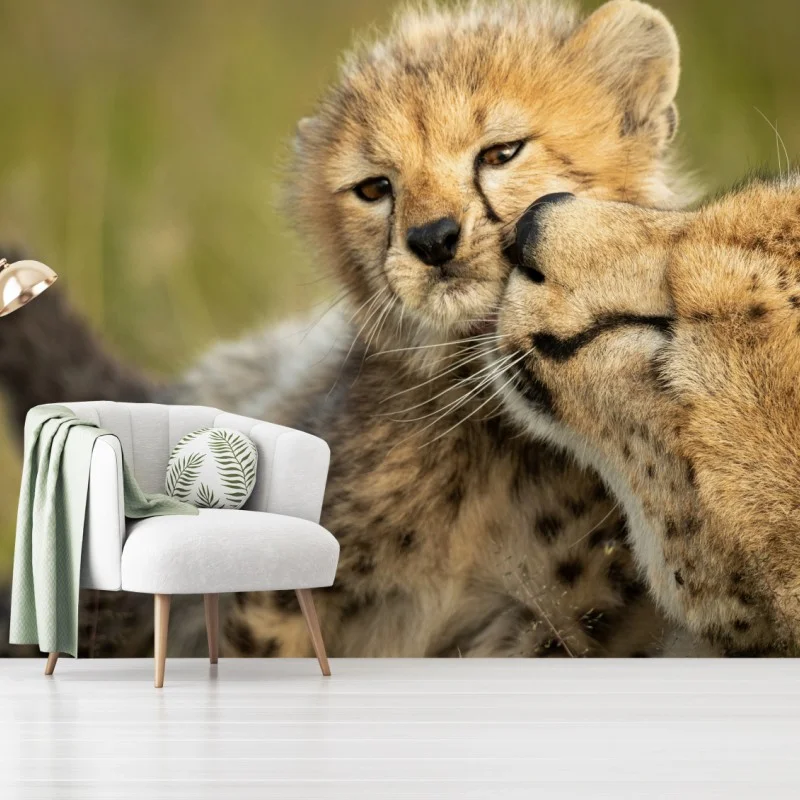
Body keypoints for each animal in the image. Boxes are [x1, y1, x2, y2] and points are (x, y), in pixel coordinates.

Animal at [0, 0, 703, 659]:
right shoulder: (280, 595)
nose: (433, 239)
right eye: (374, 188)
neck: (480, 413)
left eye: (502, 153)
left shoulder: (560, 620)